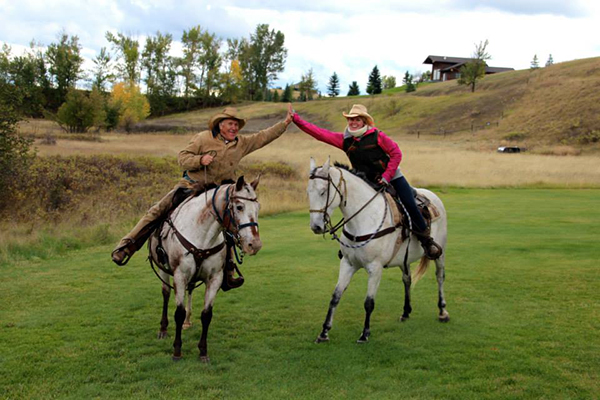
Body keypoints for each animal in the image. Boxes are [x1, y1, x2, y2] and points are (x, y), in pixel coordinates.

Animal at [148, 177, 260, 360]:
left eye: (258, 208)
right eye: (239, 206)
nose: (255, 245)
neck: (201, 234)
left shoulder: (215, 278)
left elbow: (206, 314)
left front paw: (203, 351)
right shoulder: (179, 275)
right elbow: (178, 312)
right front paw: (177, 351)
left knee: (190, 290)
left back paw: (188, 321)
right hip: (164, 270)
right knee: (166, 293)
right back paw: (163, 329)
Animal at [308, 158, 448, 342]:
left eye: (323, 192)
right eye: (308, 192)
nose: (316, 227)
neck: (363, 219)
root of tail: (433, 196)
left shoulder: (375, 268)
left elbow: (369, 302)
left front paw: (365, 334)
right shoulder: (348, 264)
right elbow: (335, 297)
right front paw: (324, 332)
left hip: (440, 252)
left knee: (439, 276)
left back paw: (443, 311)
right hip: (404, 259)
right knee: (407, 279)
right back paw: (405, 312)